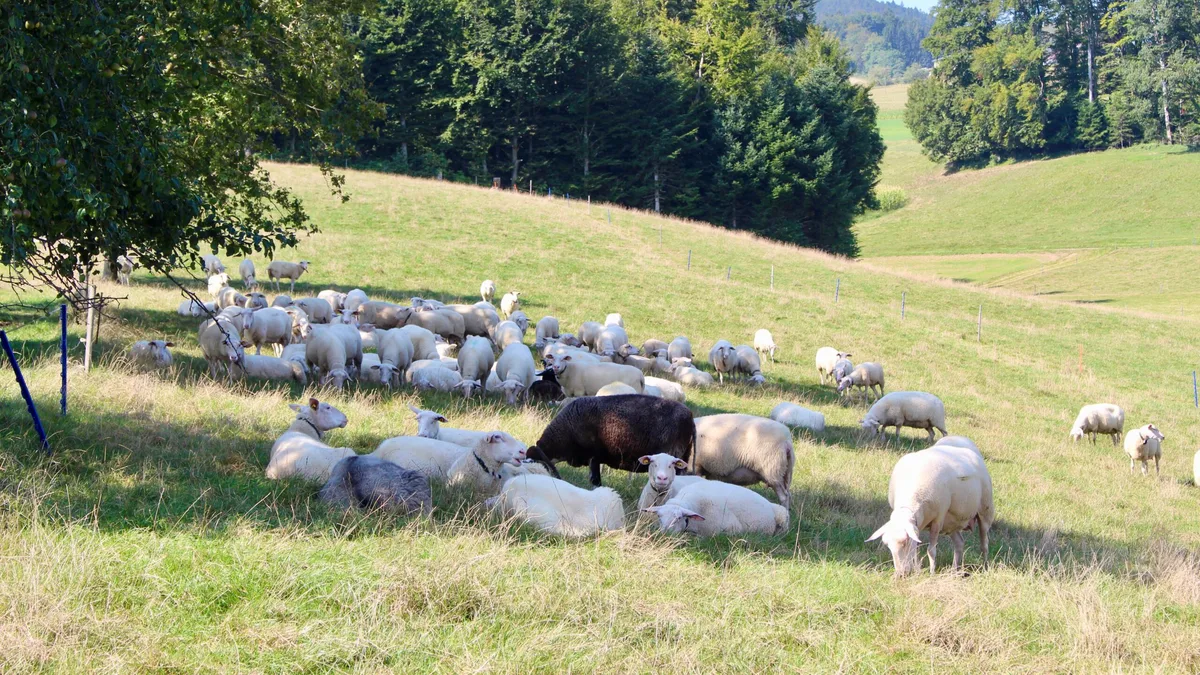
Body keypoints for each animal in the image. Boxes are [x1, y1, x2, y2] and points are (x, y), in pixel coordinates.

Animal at [643, 480, 789, 537]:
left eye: (679, 518)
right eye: (659, 516)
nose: (664, 533)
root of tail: (768, 503)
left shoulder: (732, 529)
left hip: (783, 515)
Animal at [867, 442, 994, 577]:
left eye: (905, 541)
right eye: (887, 545)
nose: (900, 575)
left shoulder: (938, 518)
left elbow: (931, 550)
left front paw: (932, 573)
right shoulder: (918, 525)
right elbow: (916, 551)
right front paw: (917, 571)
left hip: (985, 511)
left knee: (984, 544)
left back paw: (985, 567)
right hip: (951, 522)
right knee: (959, 542)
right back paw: (954, 571)